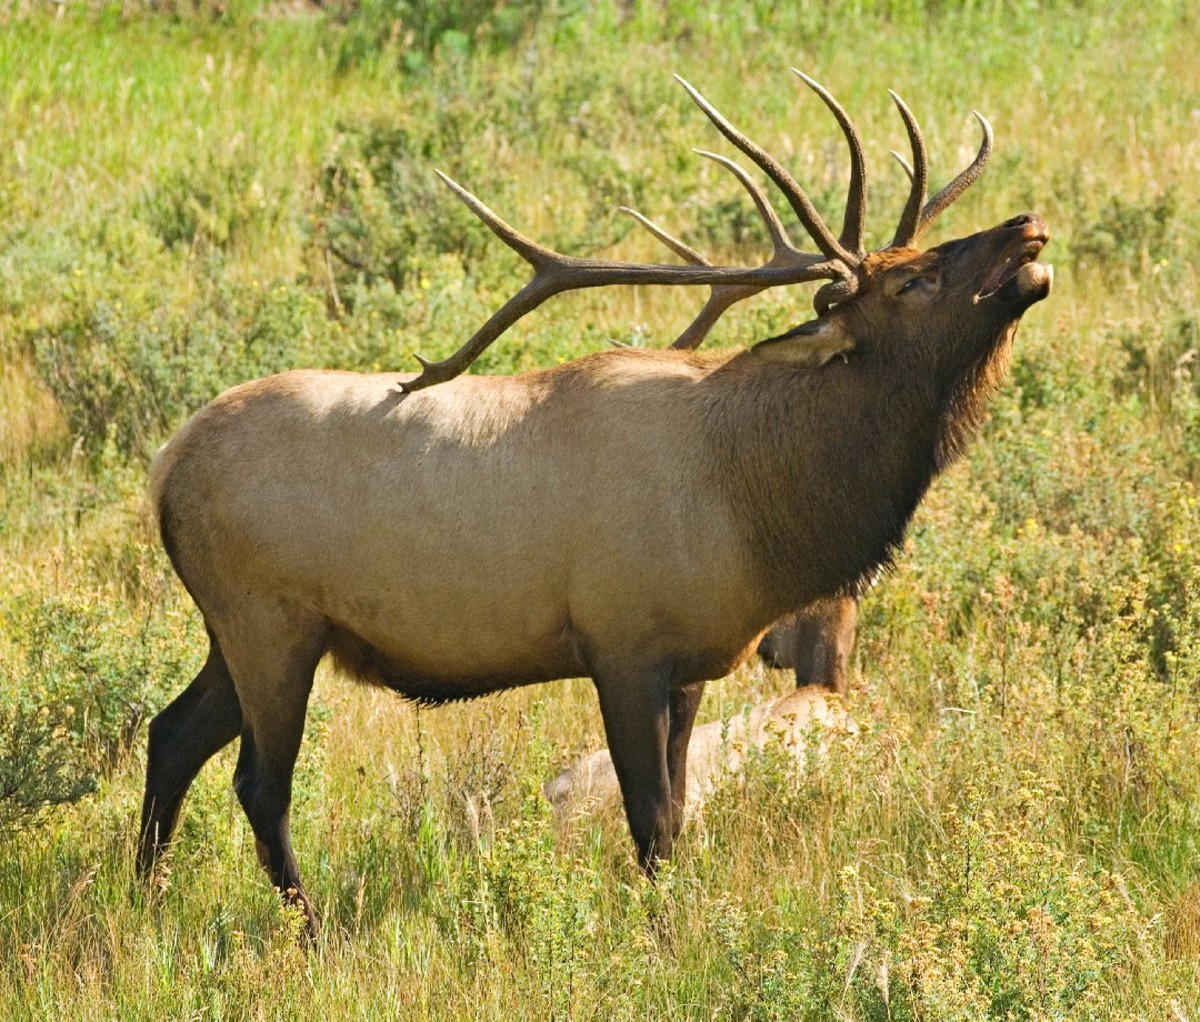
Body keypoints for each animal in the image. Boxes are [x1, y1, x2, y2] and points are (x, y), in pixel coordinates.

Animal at [138, 71, 1051, 935]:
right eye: (914, 281)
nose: (1027, 226)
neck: (758, 507)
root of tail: (164, 469)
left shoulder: (690, 664)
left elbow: (677, 814)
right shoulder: (622, 643)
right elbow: (650, 819)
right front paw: (660, 936)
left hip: (241, 631)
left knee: (169, 734)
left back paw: (143, 897)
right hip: (271, 620)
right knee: (260, 783)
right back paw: (312, 932)